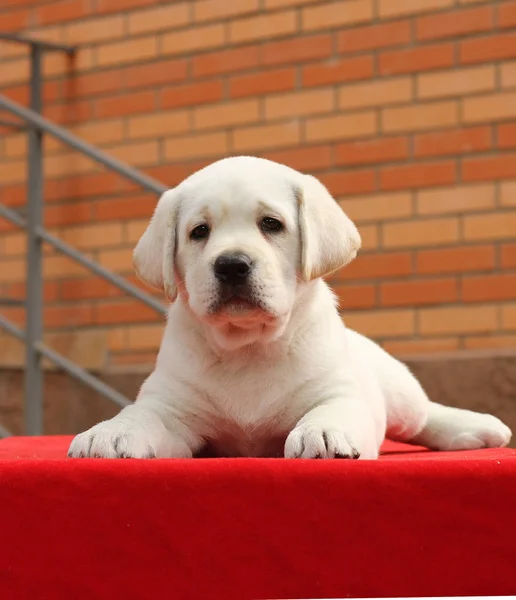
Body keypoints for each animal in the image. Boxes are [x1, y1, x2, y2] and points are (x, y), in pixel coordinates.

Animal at [67, 156, 512, 460]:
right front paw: (109, 432)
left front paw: (325, 431)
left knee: (422, 416)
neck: (248, 348)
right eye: (199, 232)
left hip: (396, 387)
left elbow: (336, 407)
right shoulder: (171, 403)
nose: (231, 265)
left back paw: (475, 427)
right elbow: (142, 413)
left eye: (271, 224)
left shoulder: (341, 390)